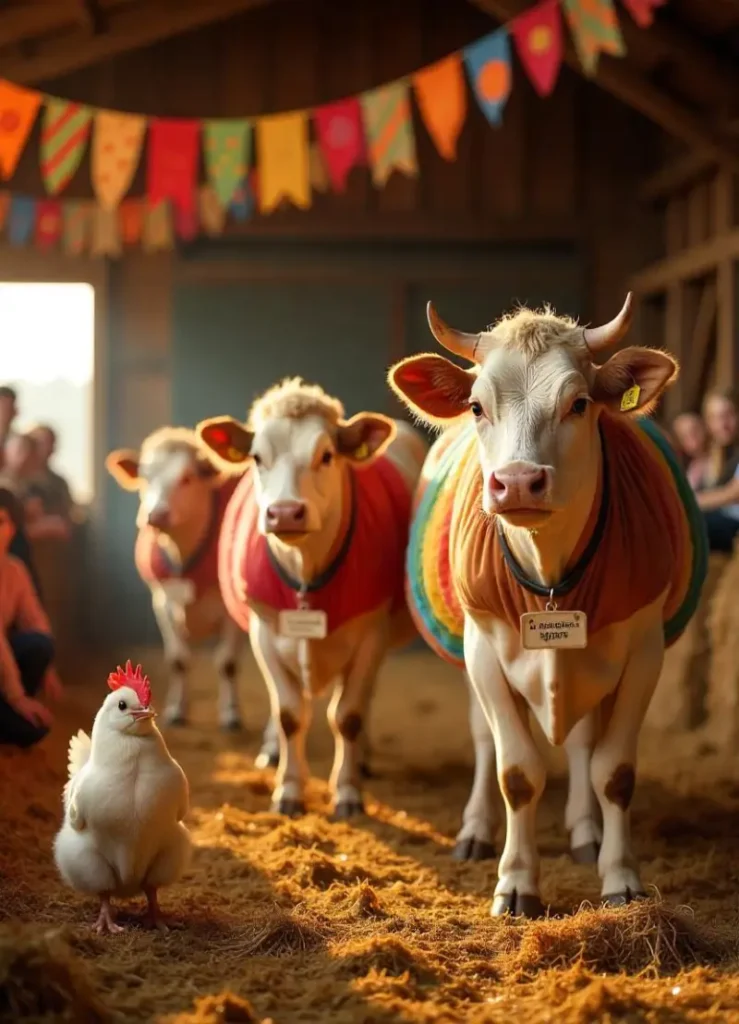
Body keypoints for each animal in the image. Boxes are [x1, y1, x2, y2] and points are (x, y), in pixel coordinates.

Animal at [194, 376, 425, 815]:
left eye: (327, 455)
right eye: (256, 457)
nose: (284, 512)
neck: (305, 573)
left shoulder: (371, 635)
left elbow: (348, 716)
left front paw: (348, 791)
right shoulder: (264, 633)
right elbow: (289, 715)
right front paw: (289, 789)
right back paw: (271, 749)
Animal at [388, 294, 704, 921]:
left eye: (579, 403)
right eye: (477, 406)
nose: (516, 482)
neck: (550, 575)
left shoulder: (644, 649)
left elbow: (615, 771)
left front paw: (620, 876)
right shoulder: (484, 648)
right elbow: (516, 771)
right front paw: (515, 883)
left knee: (582, 743)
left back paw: (585, 831)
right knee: (483, 740)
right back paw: (477, 829)